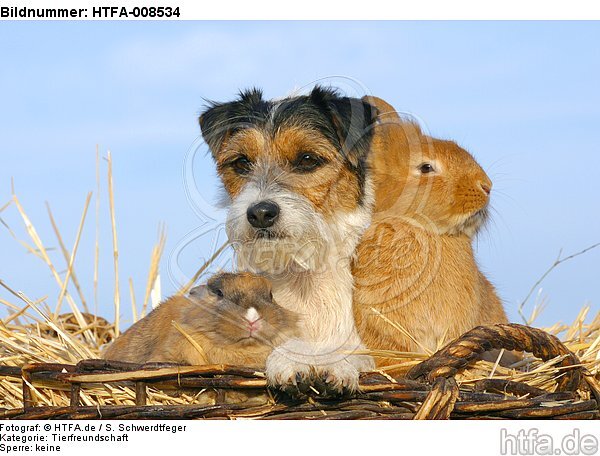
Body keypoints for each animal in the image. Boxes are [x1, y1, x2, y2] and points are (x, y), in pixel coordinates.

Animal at [200, 86, 380, 392]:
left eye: (307, 159)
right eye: (242, 162)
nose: (260, 213)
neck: (302, 276)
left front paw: (333, 363)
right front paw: (292, 359)